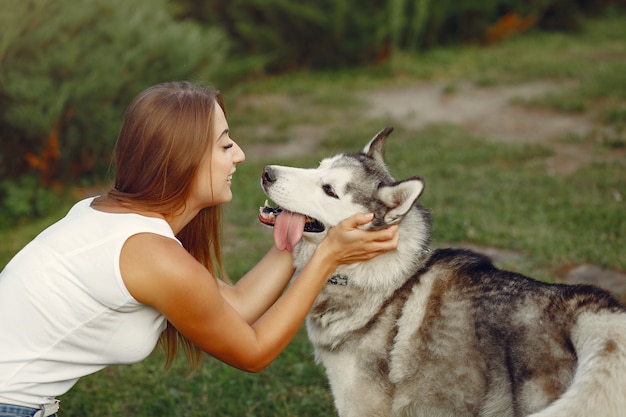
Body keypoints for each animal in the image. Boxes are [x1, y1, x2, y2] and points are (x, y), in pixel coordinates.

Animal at [258, 127, 624, 416]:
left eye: (329, 190)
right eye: (317, 167)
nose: (266, 172)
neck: (376, 275)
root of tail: (584, 304)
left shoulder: (362, 407)